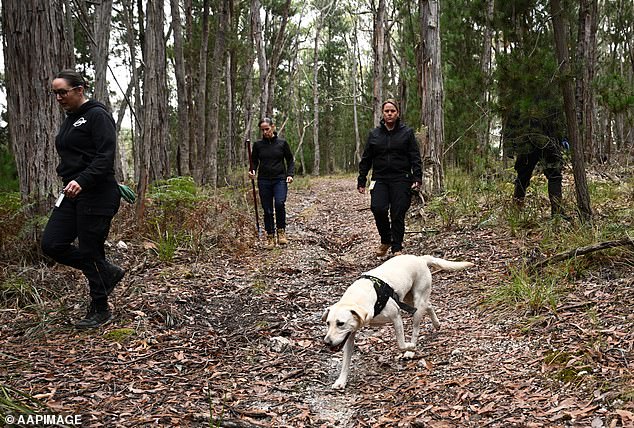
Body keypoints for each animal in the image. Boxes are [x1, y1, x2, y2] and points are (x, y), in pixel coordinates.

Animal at [324, 254, 472, 392]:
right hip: (408, 300)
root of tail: (421, 258)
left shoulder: (396, 316)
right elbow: (345, 361)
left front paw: (409, 347)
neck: (358, 298)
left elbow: (401, 344)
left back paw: (411, 351)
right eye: (328, 323)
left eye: (340, 323)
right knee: (429, 305)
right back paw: (436, 323)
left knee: (416, 328)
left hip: (417, 302)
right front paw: (341, 381)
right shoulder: (350, 334)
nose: (327, 342)